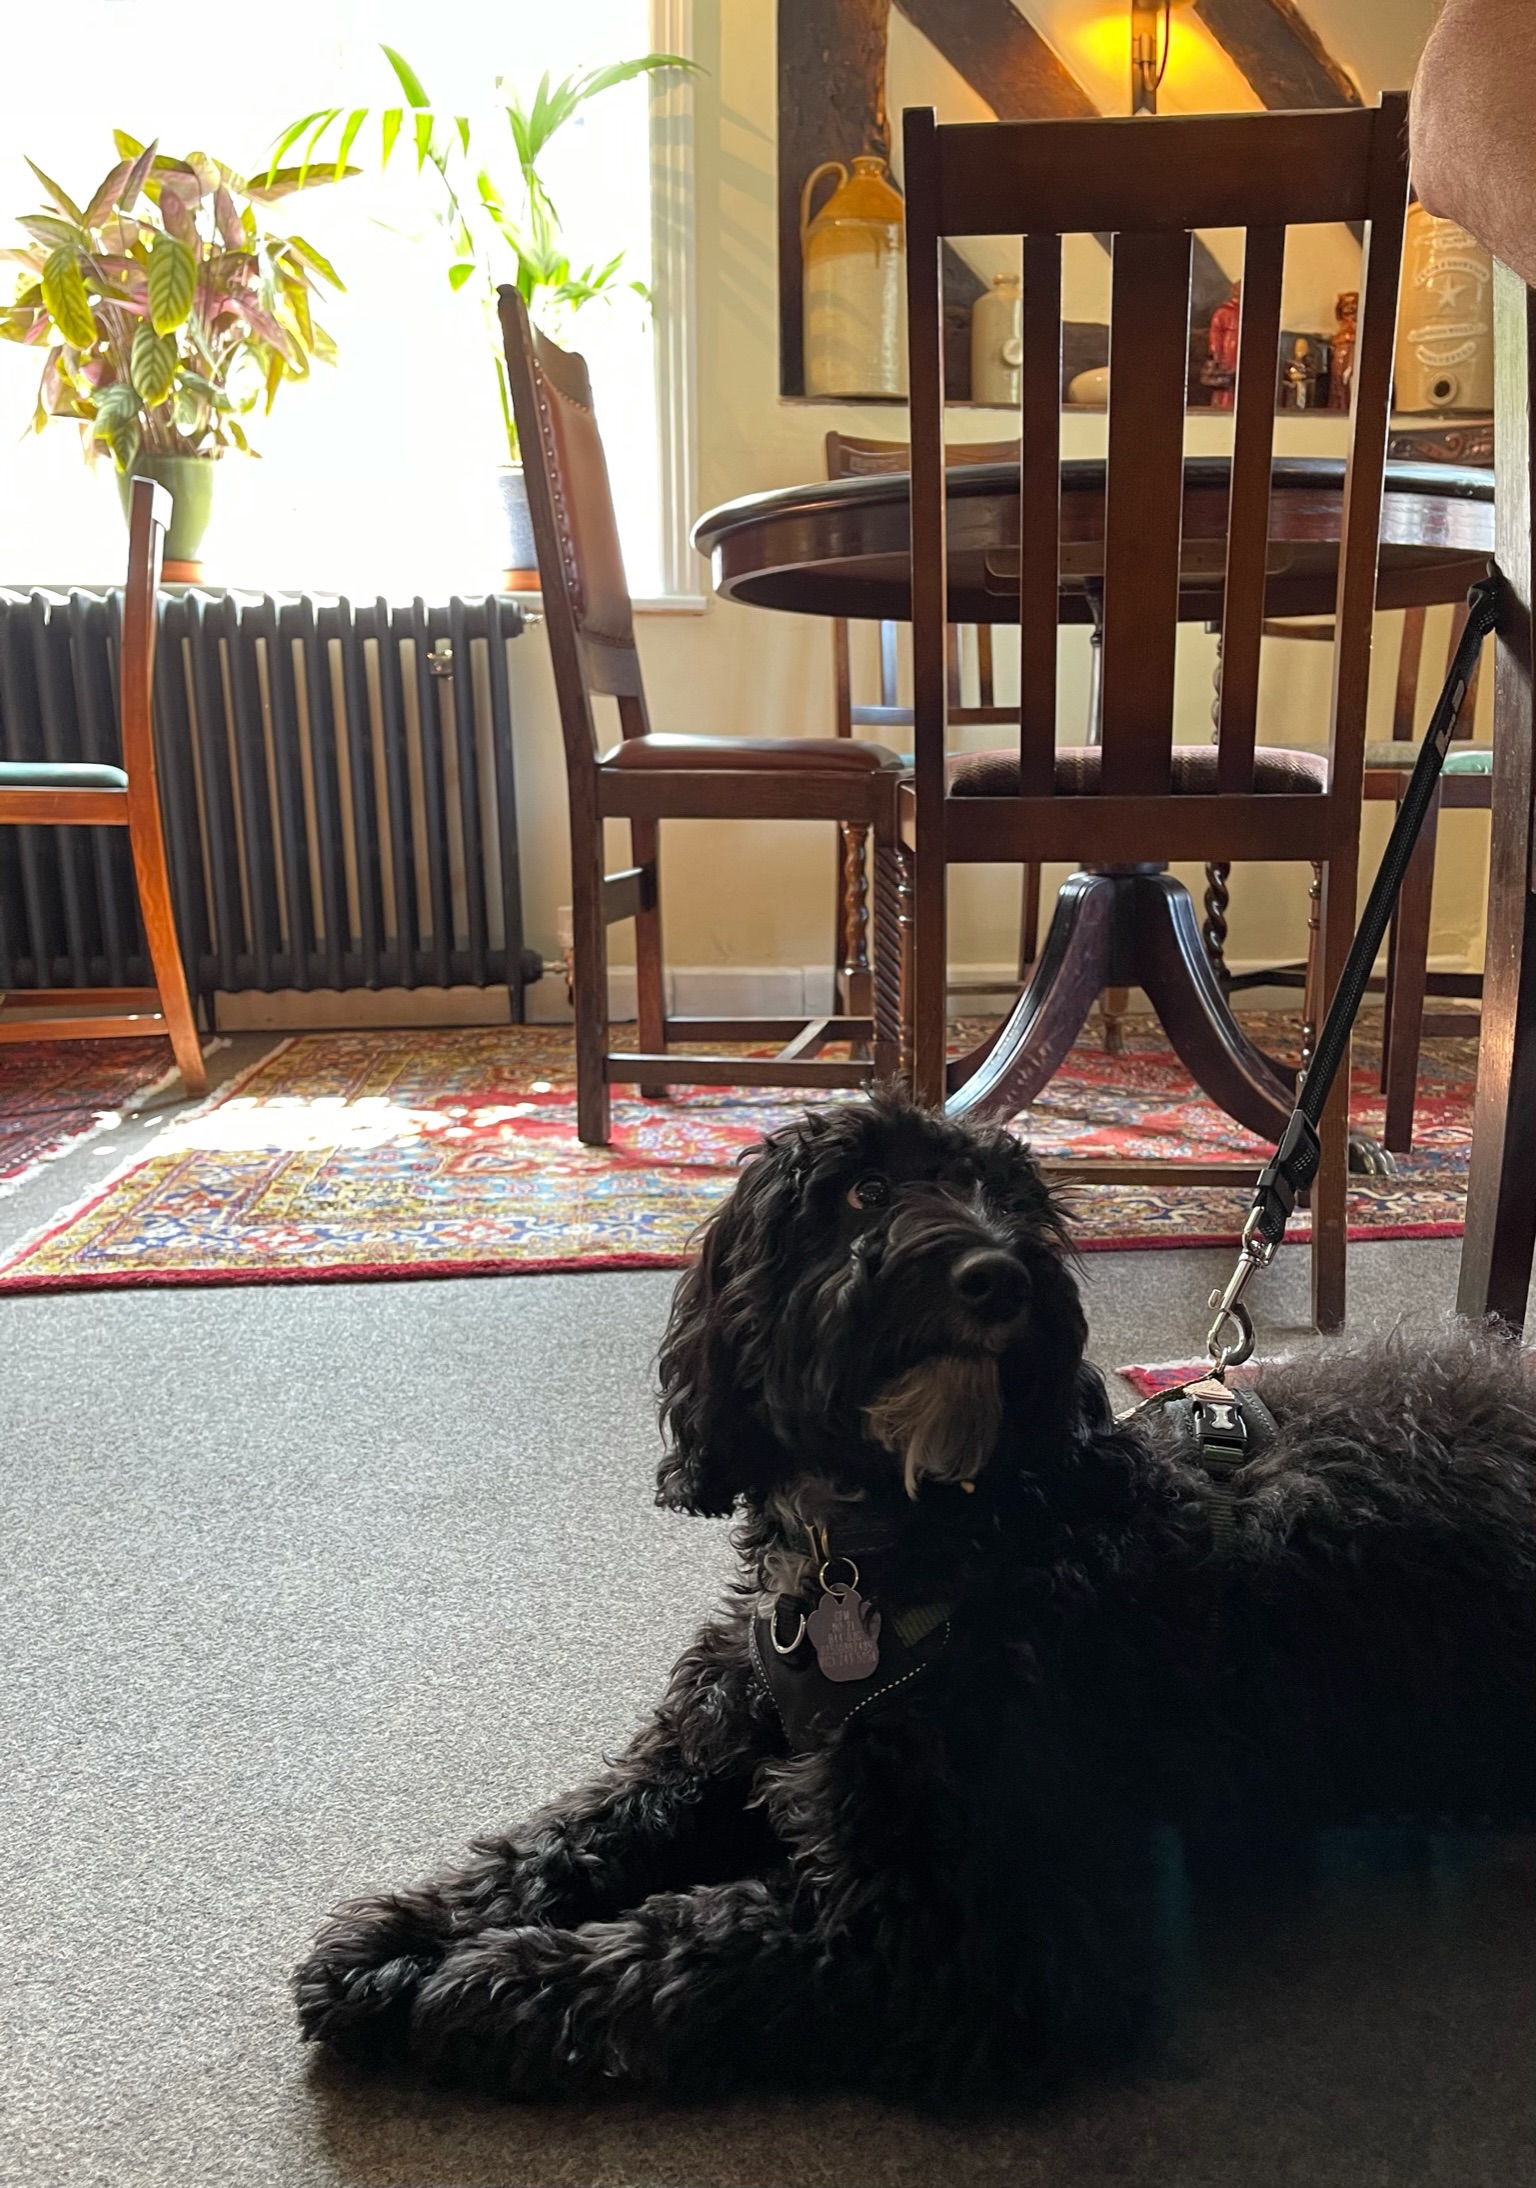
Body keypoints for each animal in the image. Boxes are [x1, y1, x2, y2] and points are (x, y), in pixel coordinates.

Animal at [294, 1091, 1536, 2104]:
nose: (998, 1275)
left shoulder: (978, 1945)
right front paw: (402, 1938)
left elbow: (689, 1947)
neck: (888, 1546)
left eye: (1018, 1200)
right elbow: (567, 1832)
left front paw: (470, 1982)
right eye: (860, 1190)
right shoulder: (707, 1746)